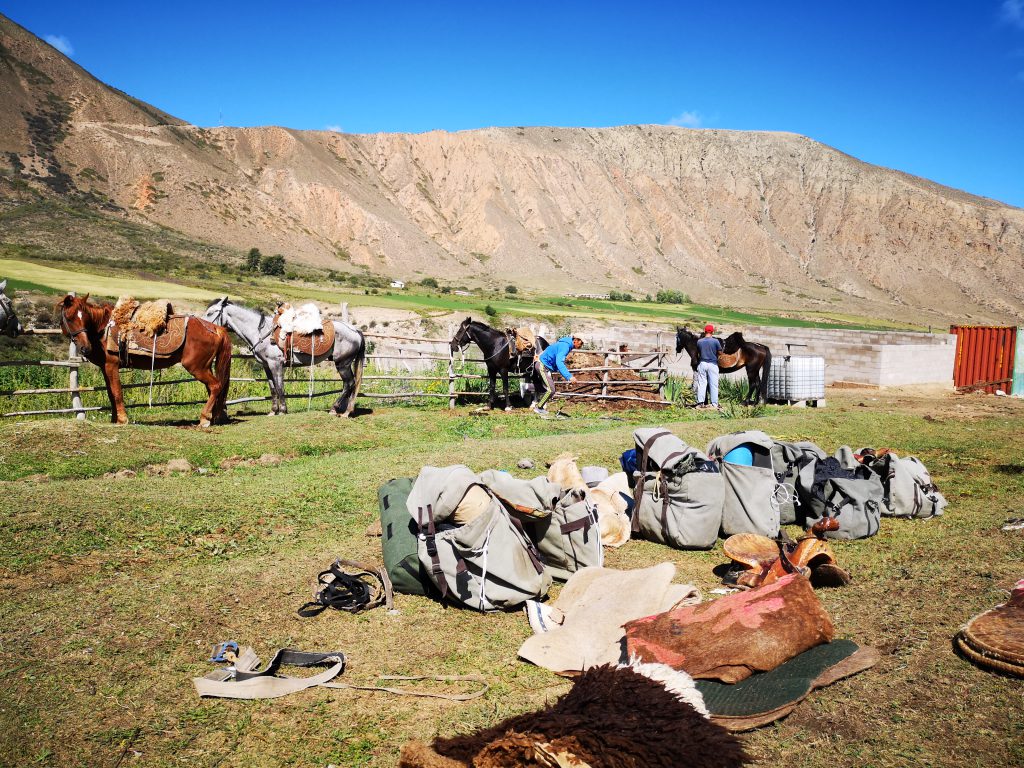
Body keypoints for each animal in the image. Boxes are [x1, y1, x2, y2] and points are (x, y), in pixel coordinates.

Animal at [57, 294, 232, 428]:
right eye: (70, 318)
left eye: (84, 317)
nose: (85, 348)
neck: (104, 330)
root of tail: (215, 329)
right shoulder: (105, 367)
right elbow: (110, 393)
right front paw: (114, 419)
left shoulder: (112, 366)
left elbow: (117, 392)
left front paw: (122, 420)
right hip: (205, 367)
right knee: (213, 388)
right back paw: (213, 416)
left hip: (197, 368)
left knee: (215, 386)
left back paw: (204, 419)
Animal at [201, 296, 366, 417]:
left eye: (211, 312)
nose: (201, 325)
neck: (260, 332)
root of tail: (355, 330)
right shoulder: (266, 365)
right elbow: (273, 388)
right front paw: (273, 411)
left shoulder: (276, 364)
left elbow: (280, 387)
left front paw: (283, 411)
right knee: (350, 385)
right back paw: (344, 410)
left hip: (342, 364)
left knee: (349, 384)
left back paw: (338, 410)